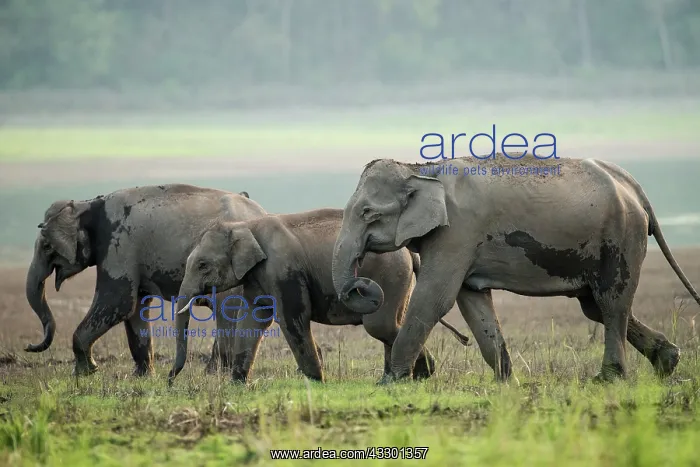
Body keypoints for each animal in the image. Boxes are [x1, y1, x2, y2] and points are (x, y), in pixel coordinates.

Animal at [25, 184, 267, 377]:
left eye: (47, 246)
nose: (29, 346)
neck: (88, 204)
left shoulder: (119, 246)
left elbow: (117, 302)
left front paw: (85, 373)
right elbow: (135, 308)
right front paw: (142, 376)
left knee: (226, 312)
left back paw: (216, 374)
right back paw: (211, 373)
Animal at [166, 208, 470, 385]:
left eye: (202, 265)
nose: (170, 380)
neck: (246, 225)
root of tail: (409, 251)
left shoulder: (283, 270)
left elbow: (292, 319)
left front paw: (315, 382)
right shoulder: (258, 276)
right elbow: (254, 320)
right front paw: (238, 384)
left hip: (390, 275)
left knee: (381, 326)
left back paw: (419, 374)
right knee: (393, 325)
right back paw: (402, 377)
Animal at [331, 155, 700, 384]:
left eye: (367, 213)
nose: (360, 284)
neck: (422, 169)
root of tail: (634, 186)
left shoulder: (457, 232)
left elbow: (433, 299)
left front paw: (388, 383)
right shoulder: (461, 242)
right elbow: (472, 300)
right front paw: (507, 382)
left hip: (621, 236)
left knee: (611, 302)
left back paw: (608, 379)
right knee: (595, 305)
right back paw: (668, 361)